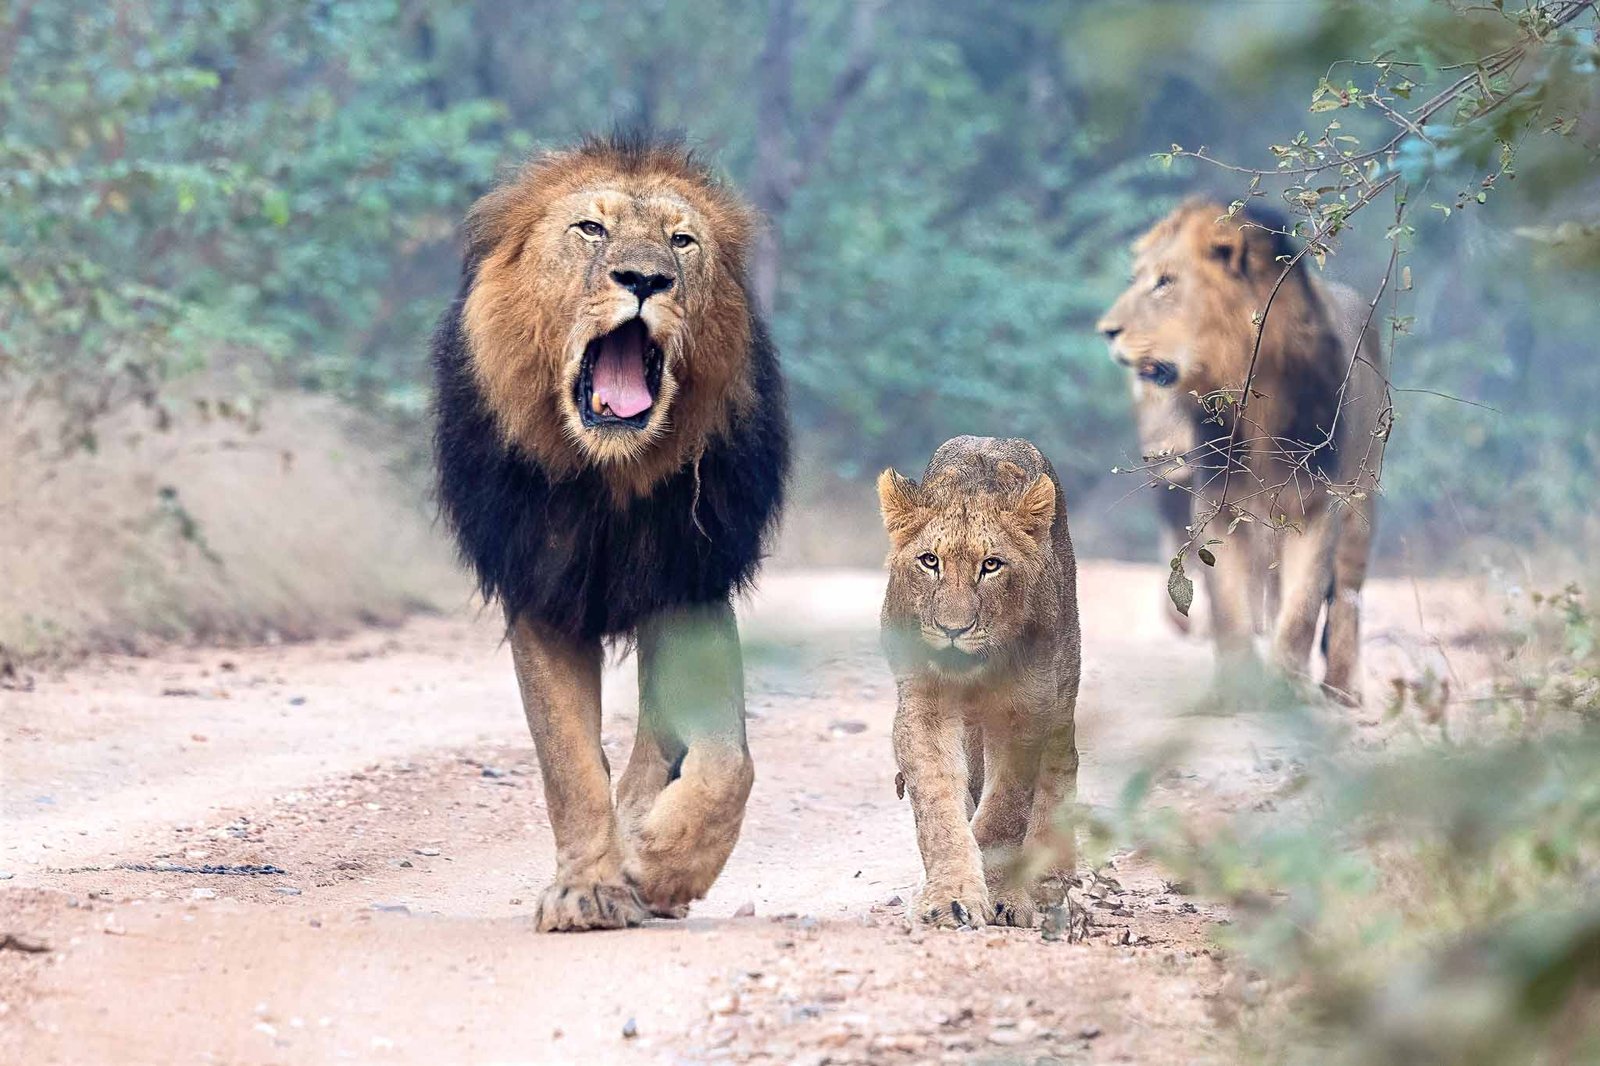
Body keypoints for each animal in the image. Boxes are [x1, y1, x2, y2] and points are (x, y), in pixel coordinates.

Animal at [431, 134, 789, 931]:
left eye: (682, 242)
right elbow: (568, 763)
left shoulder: (689, 586)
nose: (646, 279)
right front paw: (590, 887)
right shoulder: (543, 594)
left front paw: (660, 860)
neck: (609, 481)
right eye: (590, 230)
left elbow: (726, 760)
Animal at [877, 436, 1081, 928]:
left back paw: (1051, 878)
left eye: (991, 565)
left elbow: (1004, 810)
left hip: (1063, 691)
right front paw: (950, 897)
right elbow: (939, 805)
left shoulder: (1027, 709)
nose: (954, 629)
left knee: (1061, 766)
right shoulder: (923, 705)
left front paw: (1002, 894)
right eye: (929, 561)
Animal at [1096, 199, 1388, 702]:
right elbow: (1227, 602)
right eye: (1136, 278)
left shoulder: (1316, 504)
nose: (1108, 331)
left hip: (1361, 502)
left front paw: (1287, 684)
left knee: (1346, 596)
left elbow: (1303, 606)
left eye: (1166, 282)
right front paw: (1235, 684)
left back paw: (1341, 689)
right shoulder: (1217, 503)